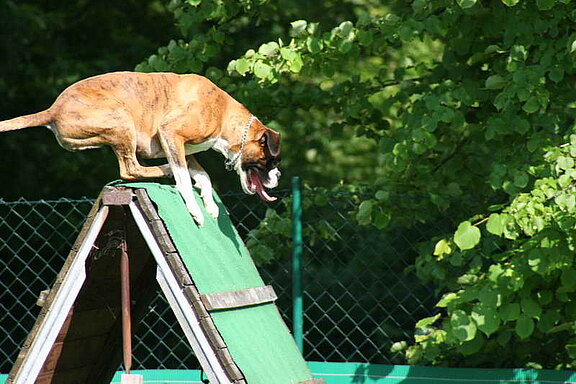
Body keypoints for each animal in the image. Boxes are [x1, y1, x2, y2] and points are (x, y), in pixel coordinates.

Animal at [0, 72, 282, 225]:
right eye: (272, 162)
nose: (278, 176)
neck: (223, 113)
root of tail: (53, 110)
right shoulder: (171, 134)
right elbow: (183, 177)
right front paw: (194, 208)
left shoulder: (180, 147)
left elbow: (203, 175)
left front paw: (209, 203)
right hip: (121, 120)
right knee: (130, 169)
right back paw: (164, 170)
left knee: (133, 167)